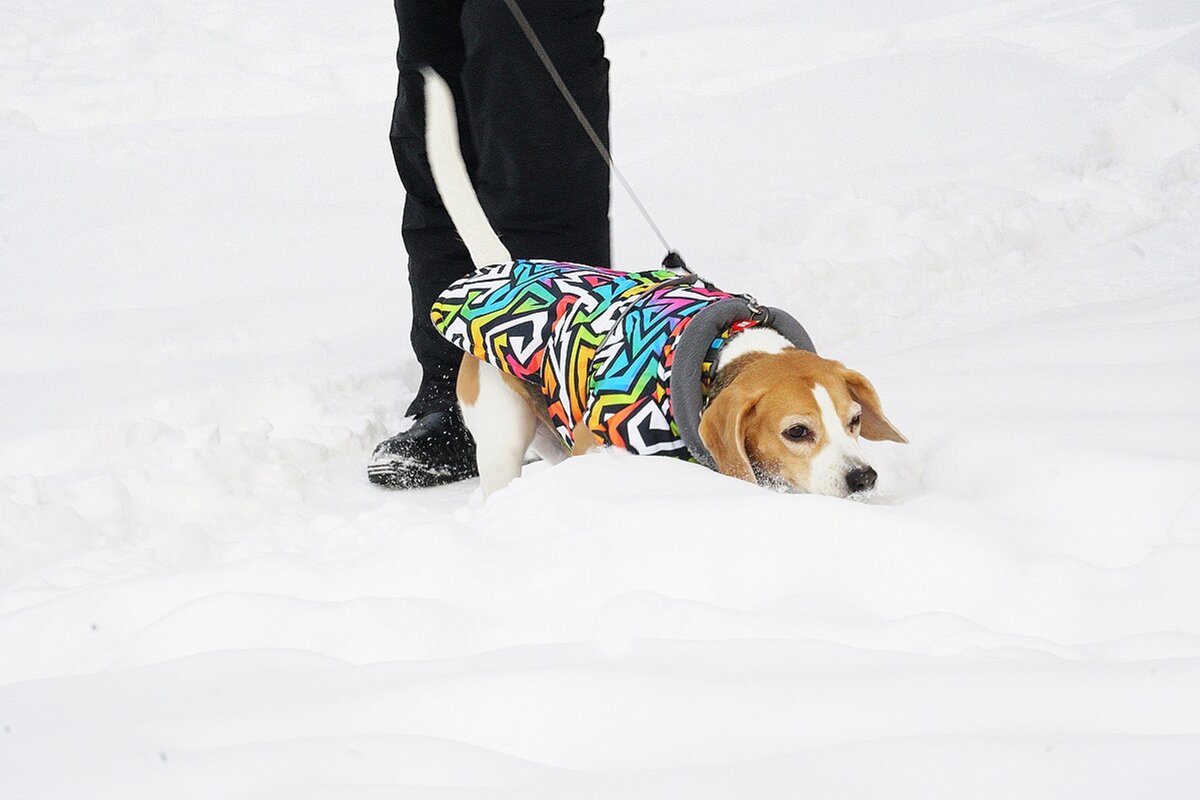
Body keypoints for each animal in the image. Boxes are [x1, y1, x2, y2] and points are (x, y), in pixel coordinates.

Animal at [417, 70, 902, 494]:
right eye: (797, 432)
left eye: (855, 420)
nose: (863, 478)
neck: (720, 356)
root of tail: (504, 266)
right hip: (503, 441)